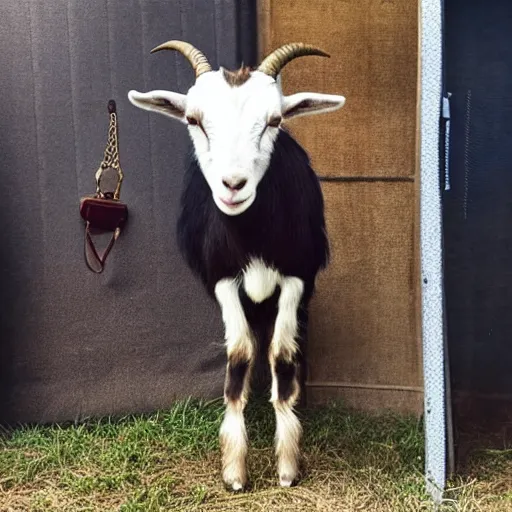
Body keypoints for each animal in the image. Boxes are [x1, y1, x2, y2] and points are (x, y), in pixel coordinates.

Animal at [128, 39, 346, 488]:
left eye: (274, 120)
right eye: (193, 119)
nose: (233, 186)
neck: (251, 235)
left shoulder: (297, 277)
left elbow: (281, 352)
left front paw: (287, 464)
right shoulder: (222, 279)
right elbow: (241, 353)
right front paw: (234, 469)